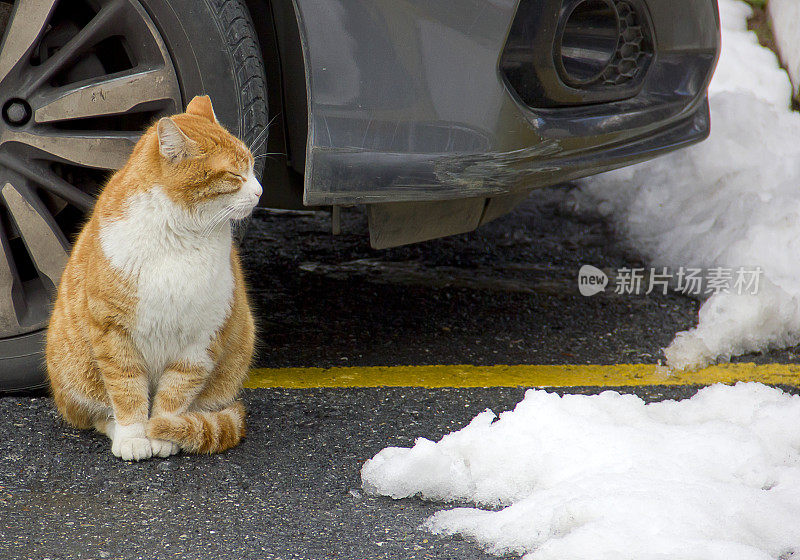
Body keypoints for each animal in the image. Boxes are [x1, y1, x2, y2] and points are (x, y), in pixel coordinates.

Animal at [45, 96, 260, 462]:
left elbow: (175, 394)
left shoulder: (201, 339)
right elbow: (127, 390)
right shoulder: (113, 332)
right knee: (98, 415)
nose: (260, 191)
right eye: (235, 174)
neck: (179, 237)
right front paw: (134, 436)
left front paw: (163, 431)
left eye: (253, 167)